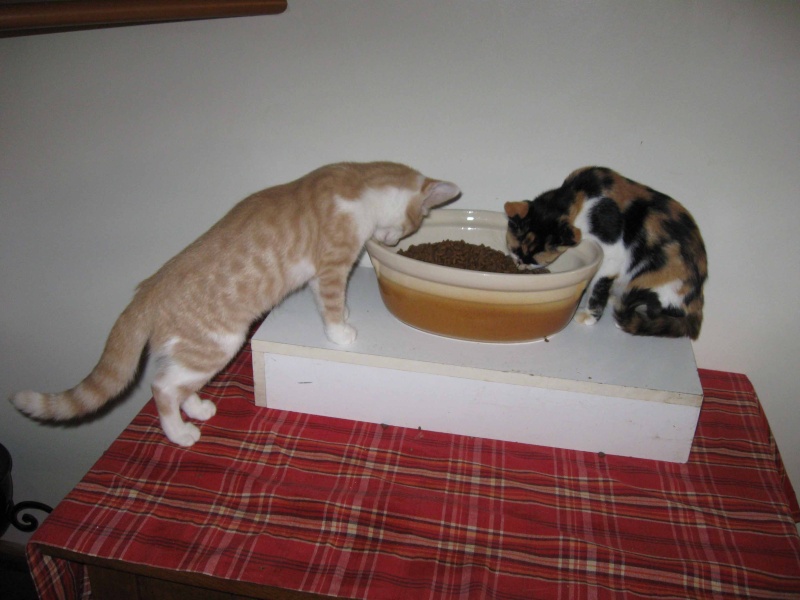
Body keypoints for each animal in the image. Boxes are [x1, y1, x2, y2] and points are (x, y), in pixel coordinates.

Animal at [10, 163, 462, 446]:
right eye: (416, 224)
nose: (395, 240)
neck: (359, 183)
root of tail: (147, 290)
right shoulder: (332, 266)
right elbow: (332, 303)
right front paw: (341, 331)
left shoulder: (318, 276)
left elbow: (324, 300)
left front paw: (344, 317)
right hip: (220, 342)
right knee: (161, 386)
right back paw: (179, 433)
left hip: (197, 351)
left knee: (176, 381)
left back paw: (197, 407)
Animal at [506, 166, 708, 340]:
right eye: (515, 250)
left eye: (533, 260)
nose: (519, 266)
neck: (579, 194)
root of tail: (697, 303)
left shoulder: (613, 253)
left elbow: (598, 285)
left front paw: (590, 314)